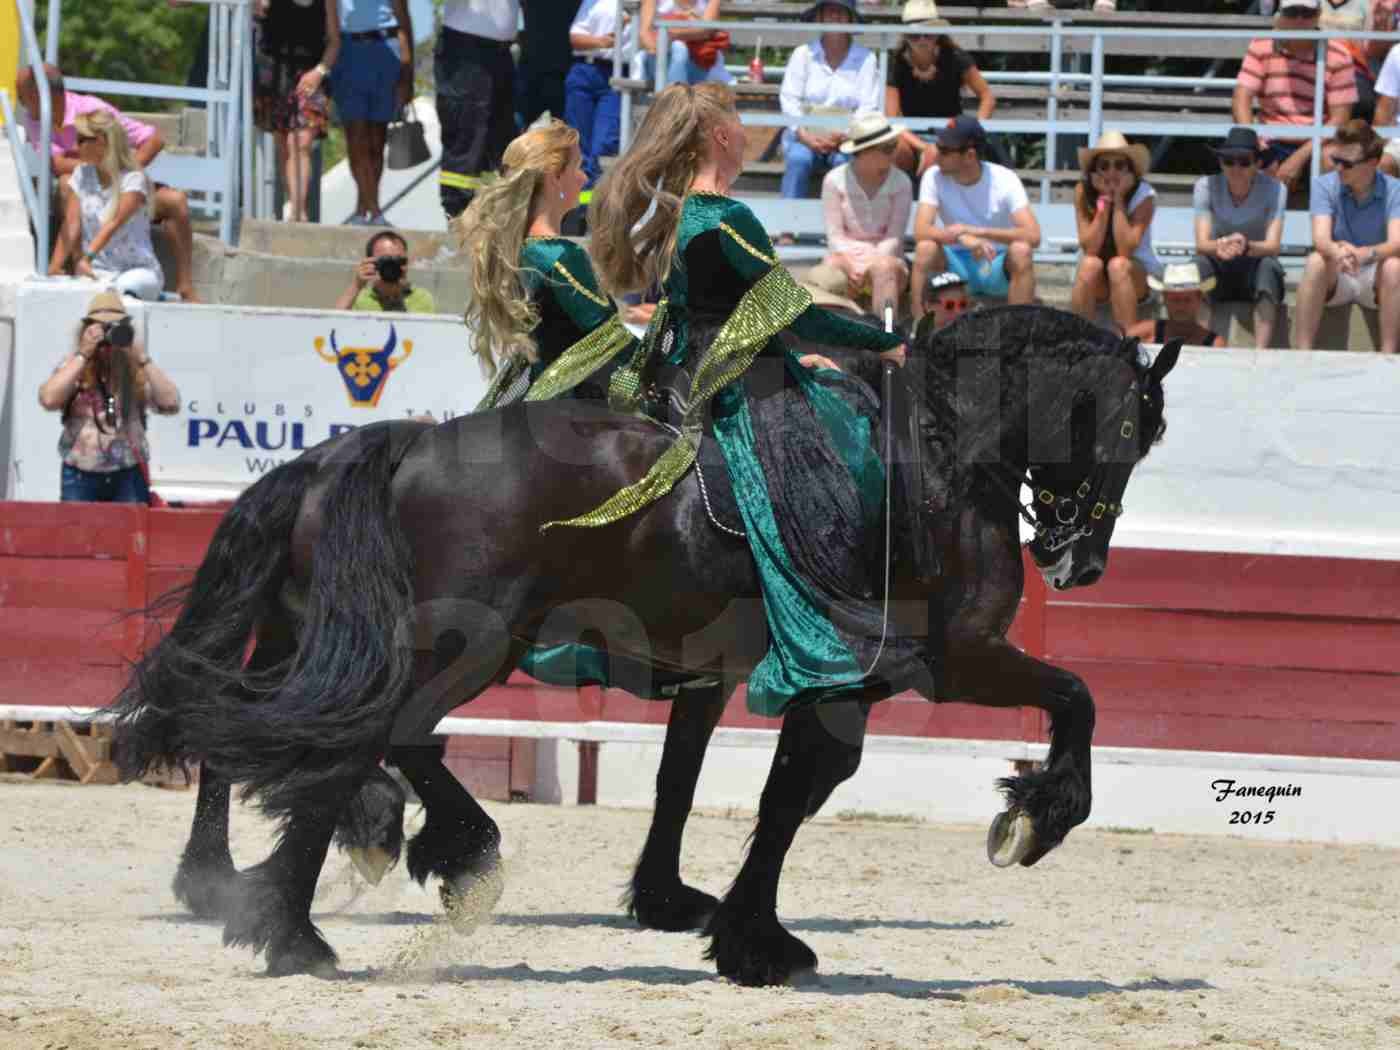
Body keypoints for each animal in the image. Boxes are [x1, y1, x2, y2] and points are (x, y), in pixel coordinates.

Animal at [112, 306, 1181, 985]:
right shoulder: (949, 659)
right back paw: (305, 923)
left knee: (308, 731)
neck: (936, 456)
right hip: (458, 645)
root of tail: (397, 443)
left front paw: (720, 925)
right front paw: (1039, 817)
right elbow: (1075, 697)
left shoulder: (799, 681)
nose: (1081, 559)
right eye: (1130, 428)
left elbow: (743, 787)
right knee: (354, 739)